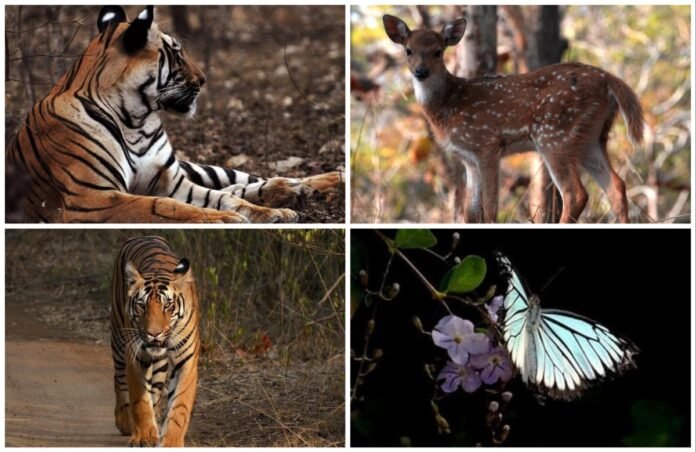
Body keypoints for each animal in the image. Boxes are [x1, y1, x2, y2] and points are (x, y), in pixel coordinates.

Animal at [6, 5, 342, 223]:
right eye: (177, 54)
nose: (204, 79)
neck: (134, 119)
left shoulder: (172, 181)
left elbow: (223, 197)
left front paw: (271, 214)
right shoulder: (91, 198)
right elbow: (161, 207)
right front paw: (226, 219)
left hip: (193, 167)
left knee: (241, 180)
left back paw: (314, 182)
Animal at [111, 236, 199, 446]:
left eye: (168, 305)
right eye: (142, 305)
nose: (154, 333)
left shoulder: (187, 361)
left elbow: (179, 407)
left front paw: (171, 442)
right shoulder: (135, 356)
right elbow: (140, 401)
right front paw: (144, 437)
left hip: (159, 364)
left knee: (156, 390)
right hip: (118, 339)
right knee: (119, 379)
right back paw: (125, 422)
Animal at [383, 14, 644, 223]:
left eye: (438, 52)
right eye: (408, 51)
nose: (421, 71)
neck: (448, 105)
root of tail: (609, 80)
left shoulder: (486, 144)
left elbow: (489, 207)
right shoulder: (468, 159)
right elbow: (470, 212)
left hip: (555, 134)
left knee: (576, 193)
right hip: (591, 137)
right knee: (616, 186)